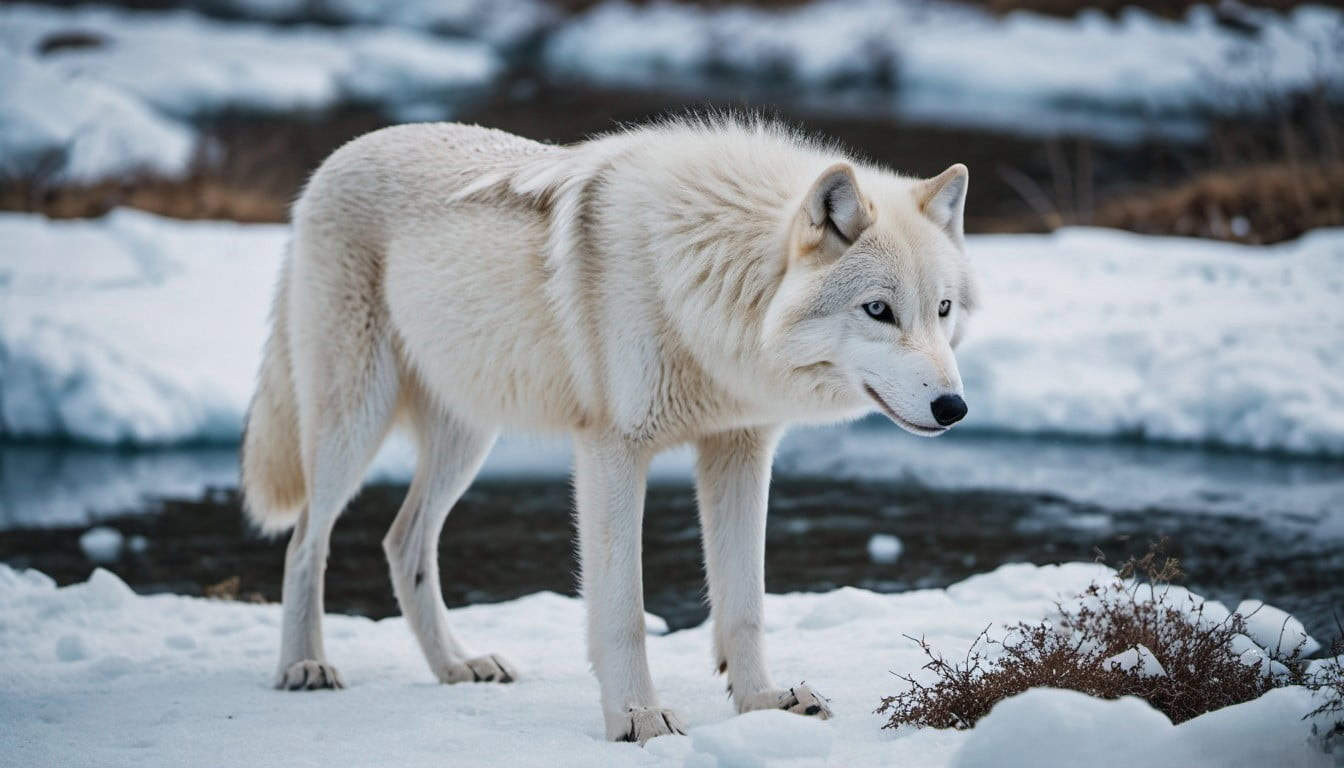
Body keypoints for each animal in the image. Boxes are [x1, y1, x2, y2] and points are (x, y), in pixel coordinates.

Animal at [239, 115, 978, 747]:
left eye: (942, 309)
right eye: (879, 310)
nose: (953, 407)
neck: (706, 282)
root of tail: (337, 157)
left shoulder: (740, 448)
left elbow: (744, 603)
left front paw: (762, 703)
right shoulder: (612, 451)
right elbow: (622, 612)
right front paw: (638, 719)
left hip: (467, 439)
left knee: (402, 541)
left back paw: (457, 664)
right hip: (352, 424)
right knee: (306, 540)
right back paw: (304, 666)